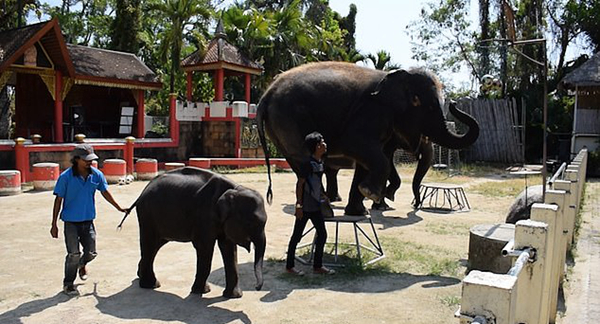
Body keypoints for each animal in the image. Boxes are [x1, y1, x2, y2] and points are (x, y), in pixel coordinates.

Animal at [122, 167, 268, 298]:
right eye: (250, 223)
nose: (257, 287)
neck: (234, 189)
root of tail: (142, 192)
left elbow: (229, 248)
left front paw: (233, 296)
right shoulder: (204, 216)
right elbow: (205, 247)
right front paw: (201, 291)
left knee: (155, 246)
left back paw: (142, 277)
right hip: (147, 215)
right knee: (150, 244)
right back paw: (151, 285)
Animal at [256, 62, 478, 215]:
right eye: (419, 102)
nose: (455, 103)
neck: (393, 76)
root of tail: (266, 95)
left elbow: (369, 160)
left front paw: (362, 209)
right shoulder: (371, 111)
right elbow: (355, 144)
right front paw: (373, 195)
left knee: (300, 164)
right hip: (288, 119)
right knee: (305, 161)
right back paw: (326, 209)